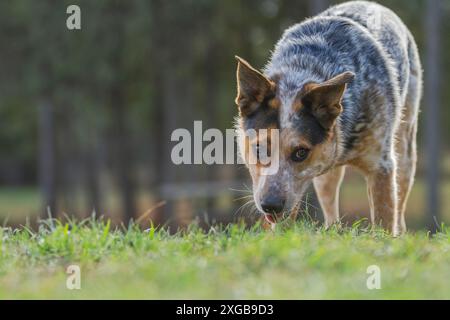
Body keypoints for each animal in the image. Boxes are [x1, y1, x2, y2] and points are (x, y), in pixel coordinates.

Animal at [236, 0, 422, 235]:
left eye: (301, 152)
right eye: (259, 148)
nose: (270, 205)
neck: (304, 70)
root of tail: (372, 4)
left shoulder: (381, 166)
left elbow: (385, 219)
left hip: (406, 151)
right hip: (325, 178)